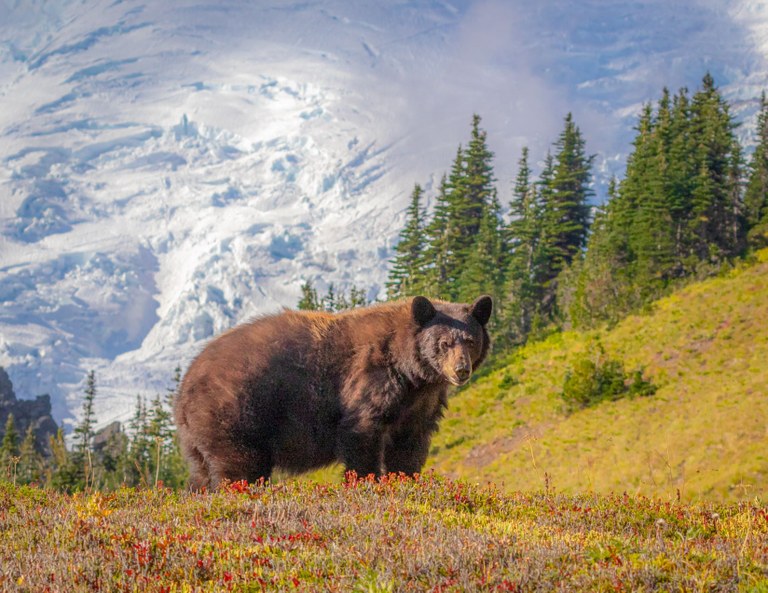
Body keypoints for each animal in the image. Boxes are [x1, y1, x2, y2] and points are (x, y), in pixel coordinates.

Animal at [173, 294, 492, 489]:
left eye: (470, 340)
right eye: (443, 343)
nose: (461, 370)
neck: (411, 373)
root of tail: (185, 386)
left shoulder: (419, 405)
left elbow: (409, 446)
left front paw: (407, 480)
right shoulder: (370, 379)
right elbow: (362, 434)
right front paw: (366, 483)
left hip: (198, 437)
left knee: (201, 474)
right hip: (235, 415)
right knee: (239, 468)